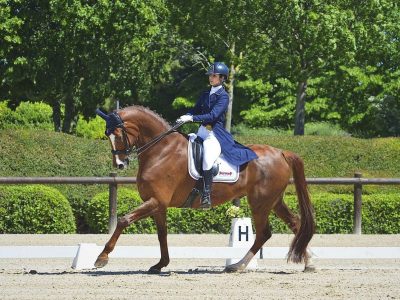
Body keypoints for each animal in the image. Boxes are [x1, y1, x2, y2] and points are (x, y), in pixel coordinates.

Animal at [94, 106, 316, 274]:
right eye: (107, 135)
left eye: (118, 135)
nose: (120, 164)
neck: (161, 150)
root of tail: (281, 152)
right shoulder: (158, 205)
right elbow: (162, 234)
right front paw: (160, 264)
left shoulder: (156, 201)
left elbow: (123, 220)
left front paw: (102, 257)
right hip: (274, 201)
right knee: (296, 224)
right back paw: (308, 263)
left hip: (260, 203)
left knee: (264, 233)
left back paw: (238, 265)